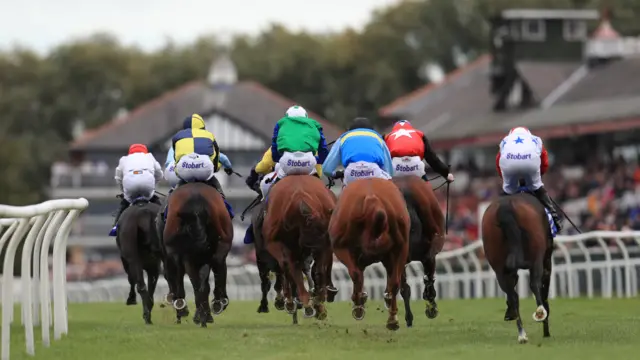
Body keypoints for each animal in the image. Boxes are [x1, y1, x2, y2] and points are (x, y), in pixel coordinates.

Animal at [262, 174, 338, 324]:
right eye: (317, 232)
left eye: (326, 232)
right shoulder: (276, 243)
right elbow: (290, 268)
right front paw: (304, 303)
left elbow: (318, 271)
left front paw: (318, 301)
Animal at [330, 176, 410, 330]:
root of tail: (372, 199)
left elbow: (358, 274)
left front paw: (360, 300)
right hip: (402, 246)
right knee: (395, 282)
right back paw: (392, 319)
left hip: (340, 246)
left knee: (356, 274)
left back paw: (359, 304)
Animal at [482, 191, 552, 344]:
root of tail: (505, 207)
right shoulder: (546, 258)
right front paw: (546, 329)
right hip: (537, 255)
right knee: (534, 283)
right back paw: (540, 312)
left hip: (498, 264)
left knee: (512, 294)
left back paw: (522, 334)